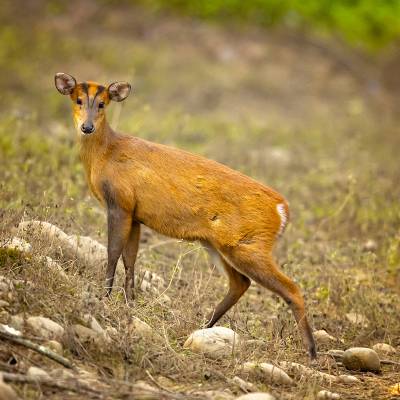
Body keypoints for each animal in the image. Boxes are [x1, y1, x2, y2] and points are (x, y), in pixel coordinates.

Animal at [56, 72, 318, 360]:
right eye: (78, 100)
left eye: (102, 103)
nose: (87, 127)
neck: (105, 154)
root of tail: (282, 209)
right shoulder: (135, 214)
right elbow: (130, 259)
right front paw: (129, 304)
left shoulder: (119, 203)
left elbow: (113, 252)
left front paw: (104, 299)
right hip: (218, 243)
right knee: (240, 282)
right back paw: (203, 328)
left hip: (248, 245)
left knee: (291, 289)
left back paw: (311, 352)